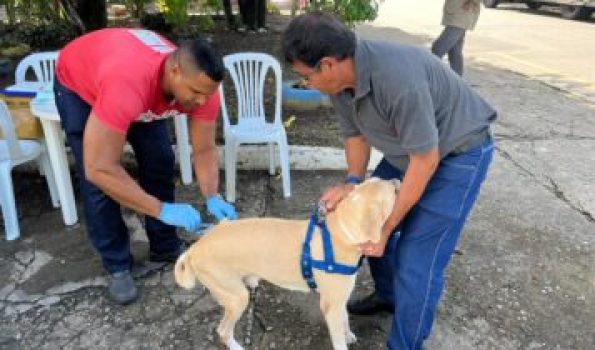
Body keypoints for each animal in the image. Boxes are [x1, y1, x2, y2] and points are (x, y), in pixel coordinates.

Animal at [177, 179, 400, 348]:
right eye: (391, 191)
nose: (397, 179)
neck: (341, 232)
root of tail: (194, 248)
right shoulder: (330, 305)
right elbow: (339, 340)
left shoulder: (340, 300)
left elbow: (345, 319)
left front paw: (349, 335)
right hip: (237, 298)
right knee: (223, 331)